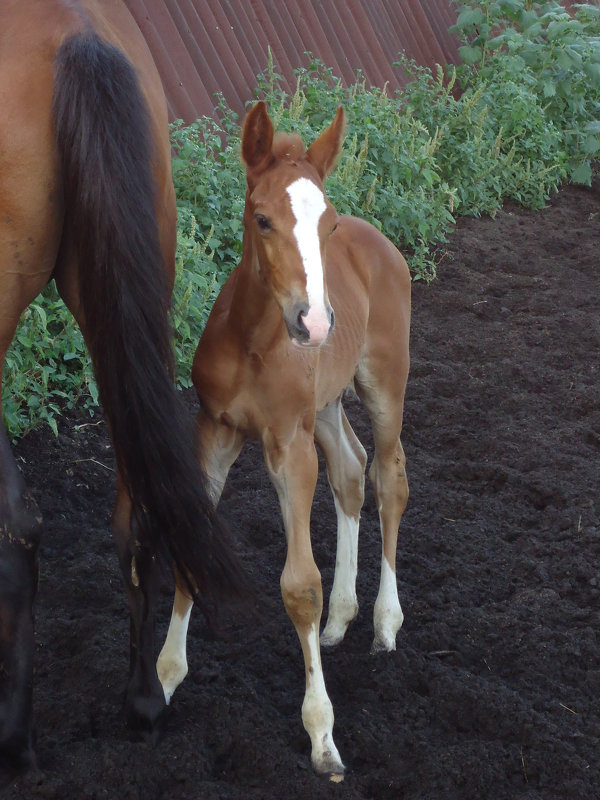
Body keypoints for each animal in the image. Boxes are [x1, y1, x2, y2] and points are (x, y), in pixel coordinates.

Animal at [157, 101, 412, 780]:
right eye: (262, 218)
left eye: (325, 223)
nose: (314, 322)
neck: (254, 338)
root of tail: (381, 242)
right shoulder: (214, 432)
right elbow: (190, 543)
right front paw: (163, 680)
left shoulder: (288, 446)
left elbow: (300, 586)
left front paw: (322, 736)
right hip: (323, 405)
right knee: (350, 471)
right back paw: (341, 620)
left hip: (383, 383)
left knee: (389, 477)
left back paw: (384, 622)